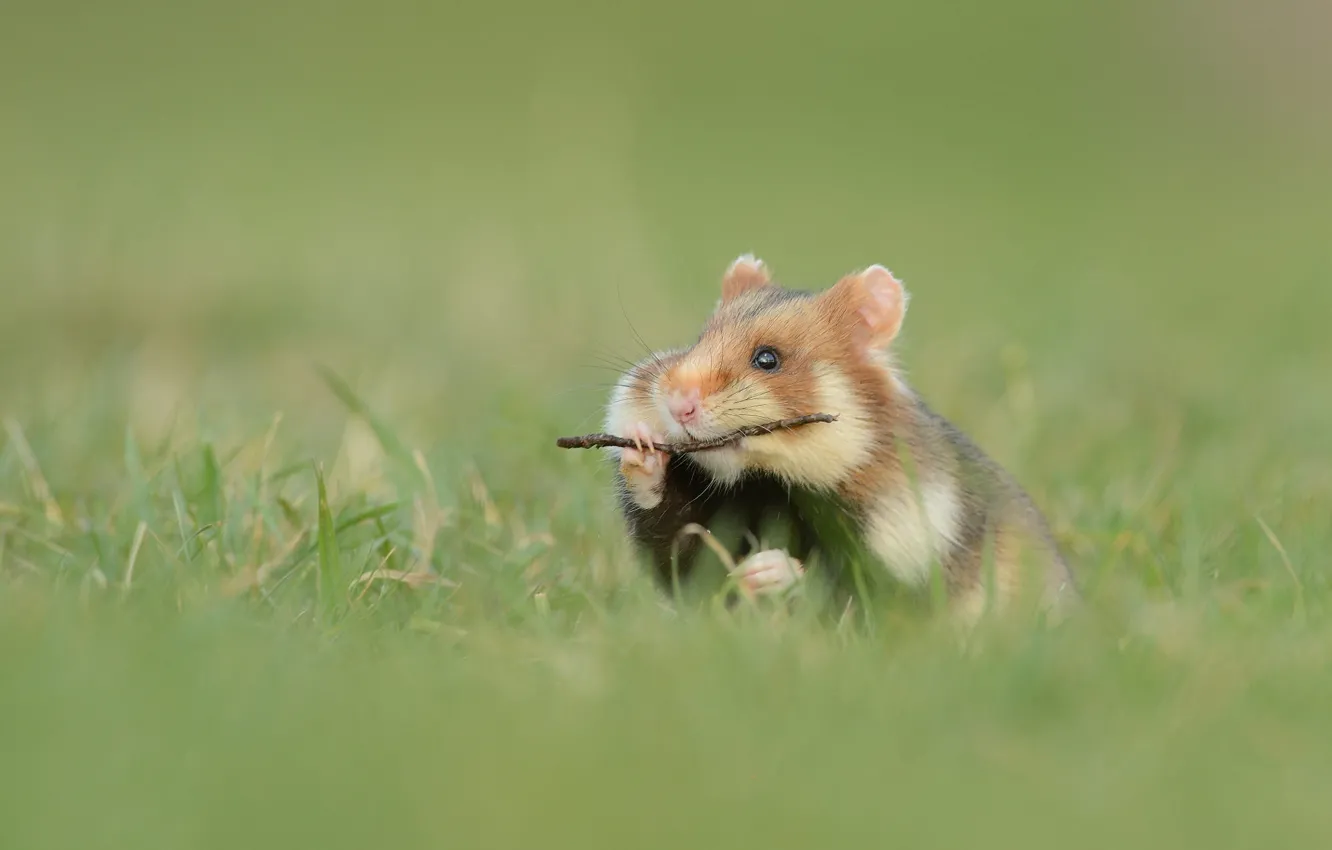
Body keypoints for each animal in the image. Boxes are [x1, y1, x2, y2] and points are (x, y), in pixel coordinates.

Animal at [602, 255, 1076, 623]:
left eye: (768, 359)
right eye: (699, 339)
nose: (677, 402)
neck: (772, 481)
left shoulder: (910, 551)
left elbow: (847, 584)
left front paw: (764, 571)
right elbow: (677, 552)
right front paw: (641, 446)